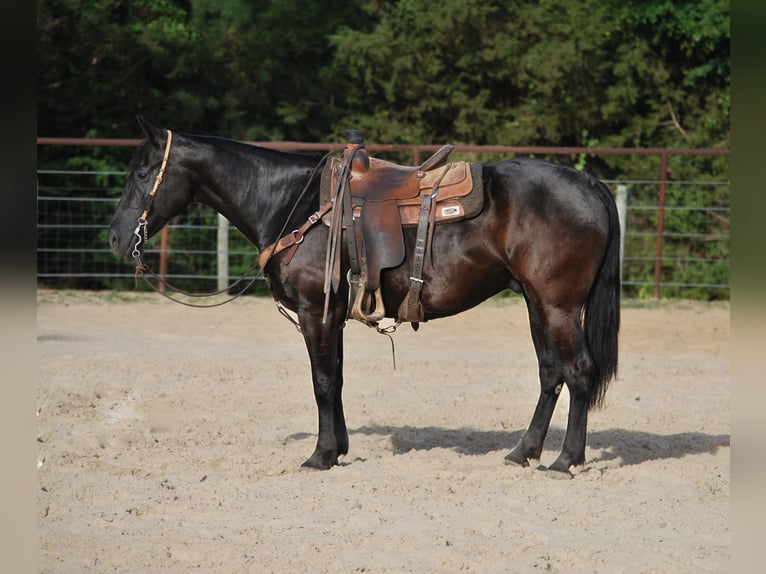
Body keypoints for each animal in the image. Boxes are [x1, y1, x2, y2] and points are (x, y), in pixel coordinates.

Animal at [109, 117, 624, 476]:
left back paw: (566, 460)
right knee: (550, 373)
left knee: (579, 372)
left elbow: (321, 382)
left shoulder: (314, 312)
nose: (115, 237)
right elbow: (335, 380)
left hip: (557, 307)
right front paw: (337, 450)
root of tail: (588, 183)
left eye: (142, 172)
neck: (292, 203)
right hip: (537, 304)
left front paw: (319, 456)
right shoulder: (331, 315)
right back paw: (524, 452)